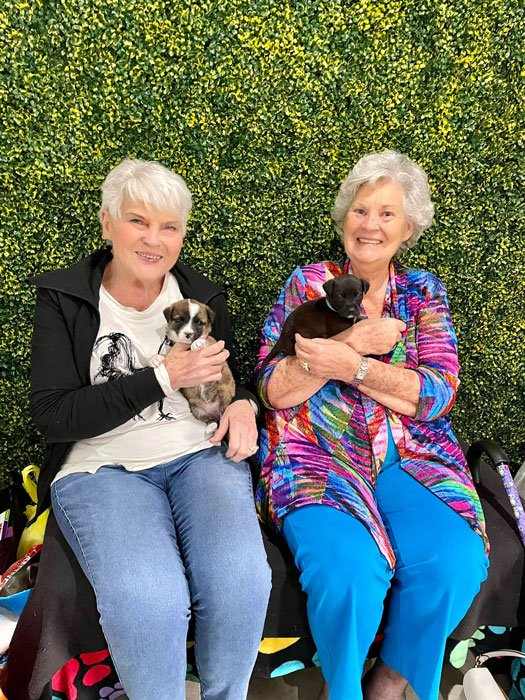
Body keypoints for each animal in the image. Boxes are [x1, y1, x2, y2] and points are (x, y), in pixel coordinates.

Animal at [150, 298, 234, 434]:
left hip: (224, 397)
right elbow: (166, 355)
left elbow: (204, 339)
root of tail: (214, 411)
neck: (186, 346)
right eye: (179, 320)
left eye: (199, 322)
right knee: (211, 419)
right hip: (197, 410)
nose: (188, 334)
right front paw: (155, 358)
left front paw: (197, 342)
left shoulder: (214, 347)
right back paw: (211, 426)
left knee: (222, 416)